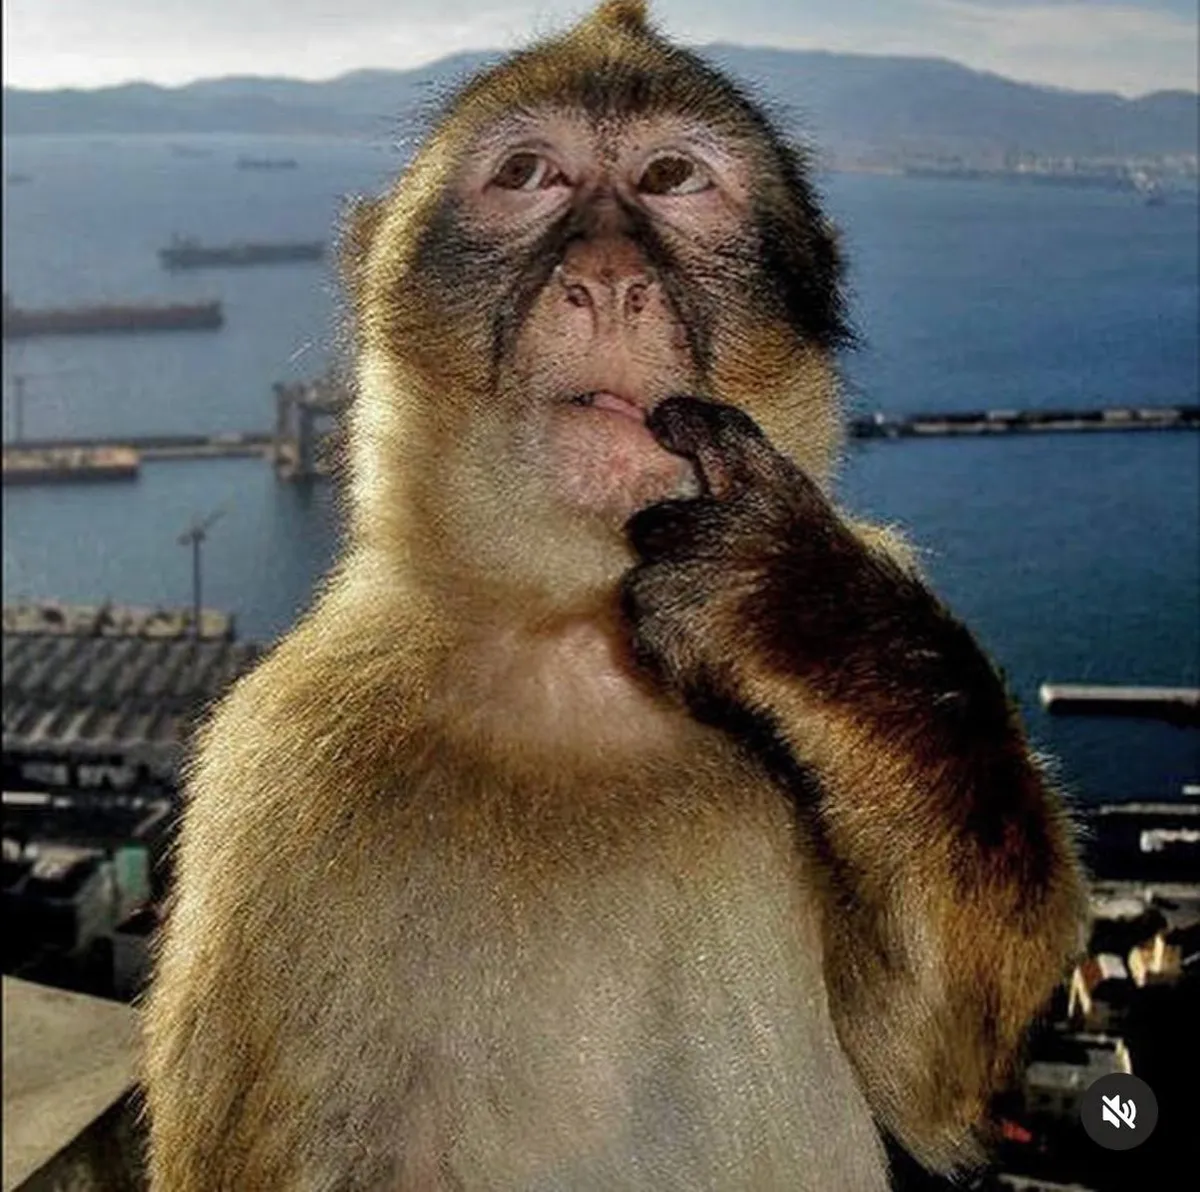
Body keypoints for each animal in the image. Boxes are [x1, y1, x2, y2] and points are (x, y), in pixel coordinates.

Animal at [141, 2, 1086, 1188]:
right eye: (528, 175)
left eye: (673, 176)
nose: (603, 280)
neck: (576, 649)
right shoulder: (279, 774)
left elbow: (927, 1059)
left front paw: (803, 611)